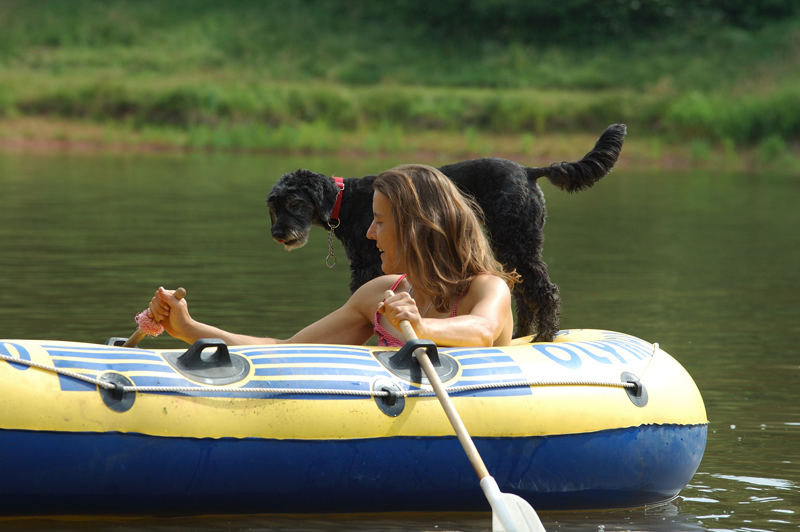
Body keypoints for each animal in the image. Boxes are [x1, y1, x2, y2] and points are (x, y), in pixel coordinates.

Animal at [268, 124, 624, 340]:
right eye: (273, 205)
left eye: (295, 202)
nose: (278, 233)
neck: (346, 201)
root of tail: (529, 171)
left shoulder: (367, 266)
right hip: (511, 244)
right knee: (524, 291)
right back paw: (522, 333)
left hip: (518, 240)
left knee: (545, 289)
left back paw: (546, 335)